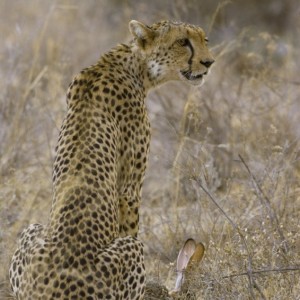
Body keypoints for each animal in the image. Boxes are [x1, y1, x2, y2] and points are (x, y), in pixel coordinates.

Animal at [8, 19, 213, 298]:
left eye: (205, 39)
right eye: (183, 42)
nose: (208, 62)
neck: (135, 66)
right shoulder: (129, 189)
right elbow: (130, 221)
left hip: (31, 230)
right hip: (131, 250)